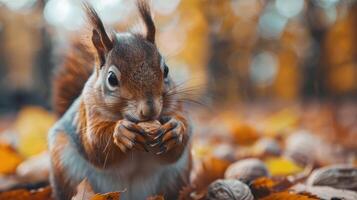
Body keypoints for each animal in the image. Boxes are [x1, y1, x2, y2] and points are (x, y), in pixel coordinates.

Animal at [48, 0, 192, 199]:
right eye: (111, 79)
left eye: (166, 70)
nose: (150, 109)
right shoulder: (89, 111)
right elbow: (95, 144)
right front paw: (121, 132)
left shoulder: (175, 105)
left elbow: (177, 146)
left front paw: (175, 129)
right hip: (65, 168)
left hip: (177, 176)